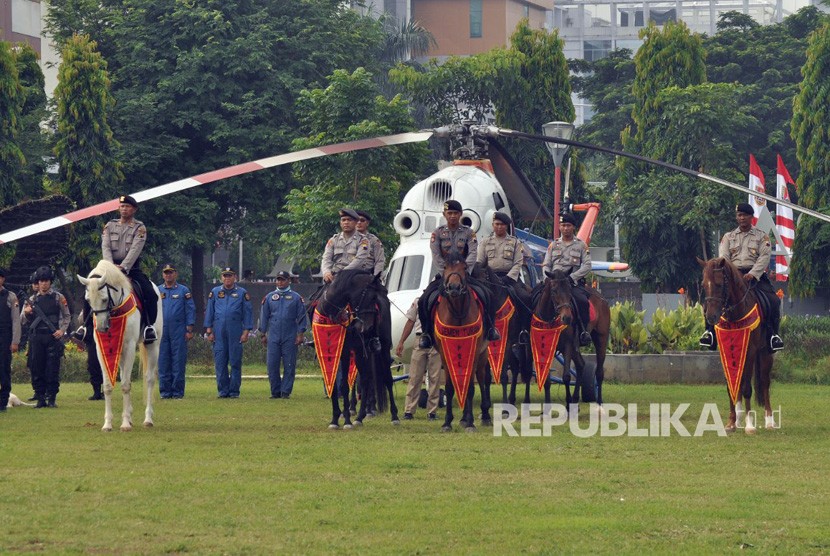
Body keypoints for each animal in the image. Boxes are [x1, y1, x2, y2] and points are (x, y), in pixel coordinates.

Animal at [78, 262, 162, 434]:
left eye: (104, 299)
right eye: (88, 300)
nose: (102, 328)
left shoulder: (129, 346)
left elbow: (125, 385)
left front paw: (124, 424)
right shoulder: (100, 349)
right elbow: (108, 386)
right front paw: (108, 424)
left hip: (153, 345)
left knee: (149, 378)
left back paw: (148, 419)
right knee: (125, 374)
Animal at [436, 254, 494, 432]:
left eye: (464, 268)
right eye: (445, 267)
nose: (454, 288)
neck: (458, 312)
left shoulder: (474, 352)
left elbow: (470, 386)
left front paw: (470, 423)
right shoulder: (444, 354)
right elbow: (450, 387)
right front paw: (447, 422)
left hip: (482, 356)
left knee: (482, 380)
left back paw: (484, 416)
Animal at [532, 270, 612, 408]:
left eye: (569, 290)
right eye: (554, 291)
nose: (567, 318)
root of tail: (601, 298)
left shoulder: (567, 346)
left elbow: (566, 376)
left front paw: (568, 403)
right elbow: (546, 378)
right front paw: (547, 407)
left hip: (601, 338)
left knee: (599, 372)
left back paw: (599, 402)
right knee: (581, 365)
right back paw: (575, 399)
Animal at [704, 258, 780, 434]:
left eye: (719, 284)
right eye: (704, 285)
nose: (711, 317)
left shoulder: (750, 352)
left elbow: (746, 388)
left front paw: (750, 425)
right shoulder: (724, 351)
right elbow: (730, 386)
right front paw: (731, 422)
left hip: (766, 353)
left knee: (765, 383)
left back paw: (769, 420)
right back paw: (738, 419)